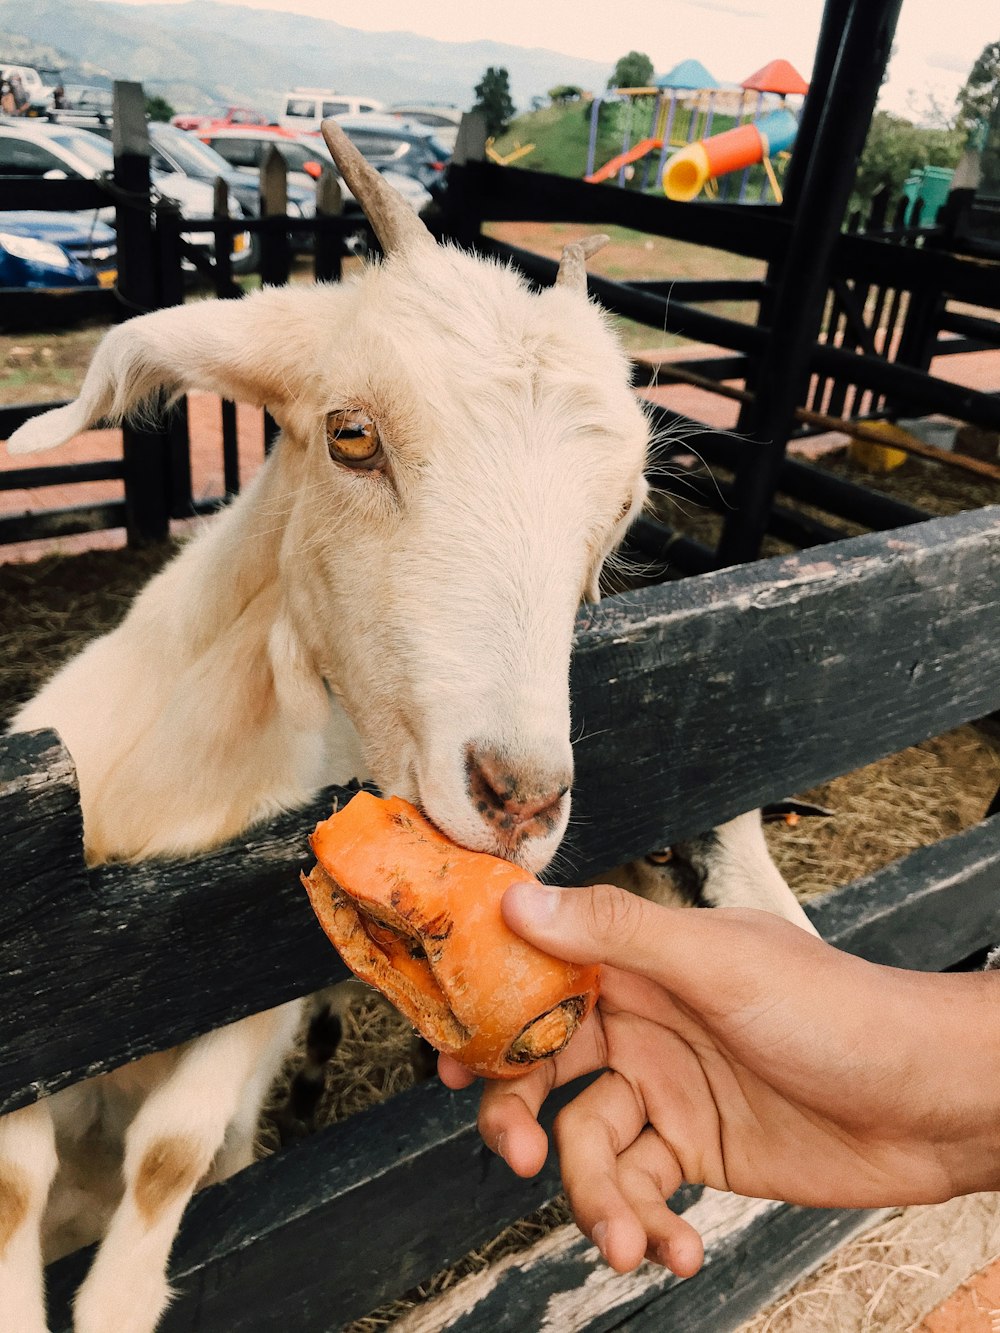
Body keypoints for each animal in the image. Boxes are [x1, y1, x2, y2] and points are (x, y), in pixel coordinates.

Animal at [0, 125, 653, 1333]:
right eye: (352, 437)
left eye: (622, 510)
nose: (520, 797)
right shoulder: (33, 1003)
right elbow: (17, 1172)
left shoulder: (257, 973)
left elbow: (172, 1150)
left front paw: (119, 1299)